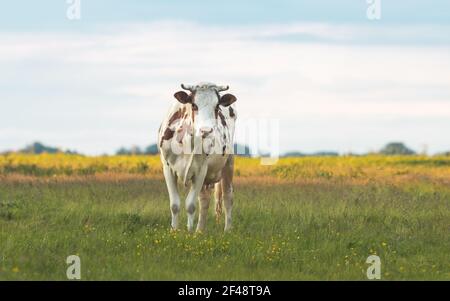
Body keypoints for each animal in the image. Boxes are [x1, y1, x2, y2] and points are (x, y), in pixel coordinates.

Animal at [157, 81, 237, 231]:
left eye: (216, 107)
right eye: (194, 105)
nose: (206, 131)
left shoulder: (201, 170)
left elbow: (190, 205)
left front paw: (189, 231)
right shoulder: (167, 168)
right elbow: (174, 205)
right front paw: (174, 231)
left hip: (228, 163)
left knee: (227, 197)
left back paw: (228, 230)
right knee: (205, 200)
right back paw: (200, 231)